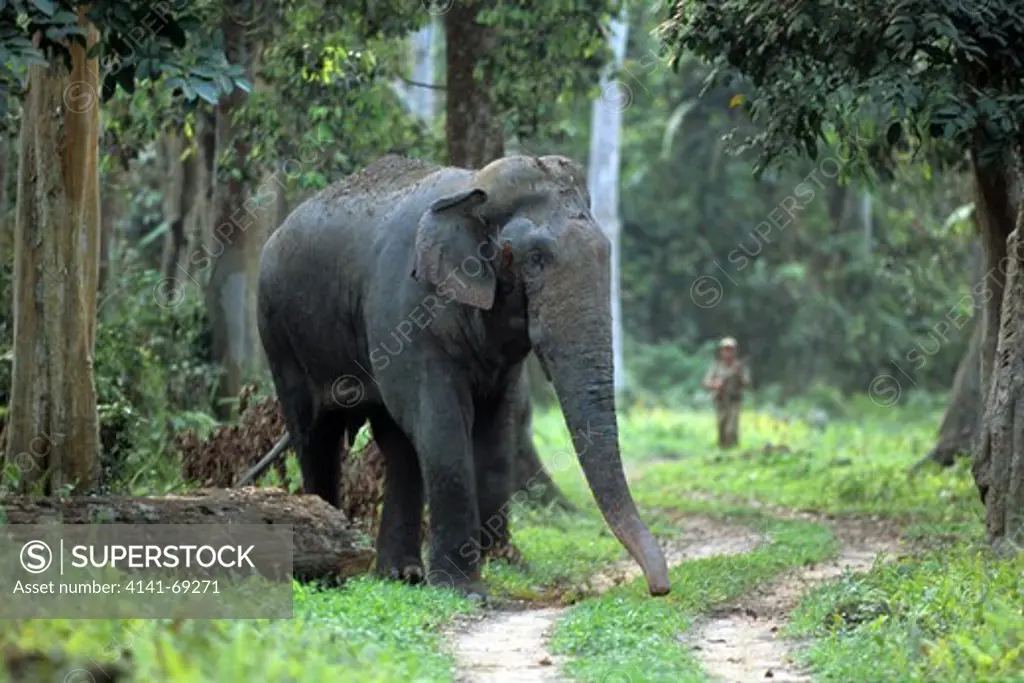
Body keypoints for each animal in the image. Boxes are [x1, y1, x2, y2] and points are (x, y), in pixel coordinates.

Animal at [256, 153, 671, 598]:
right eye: (536, 259)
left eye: (606, 253)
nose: (658, 588)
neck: (474, 187)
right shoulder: (407, 312)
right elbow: (442, 423)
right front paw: (465, 588)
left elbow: (495, 428)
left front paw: (493, 567)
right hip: (278, 332)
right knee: (316, 436)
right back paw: (327, 569)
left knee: (397, 444)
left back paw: (401, 575)